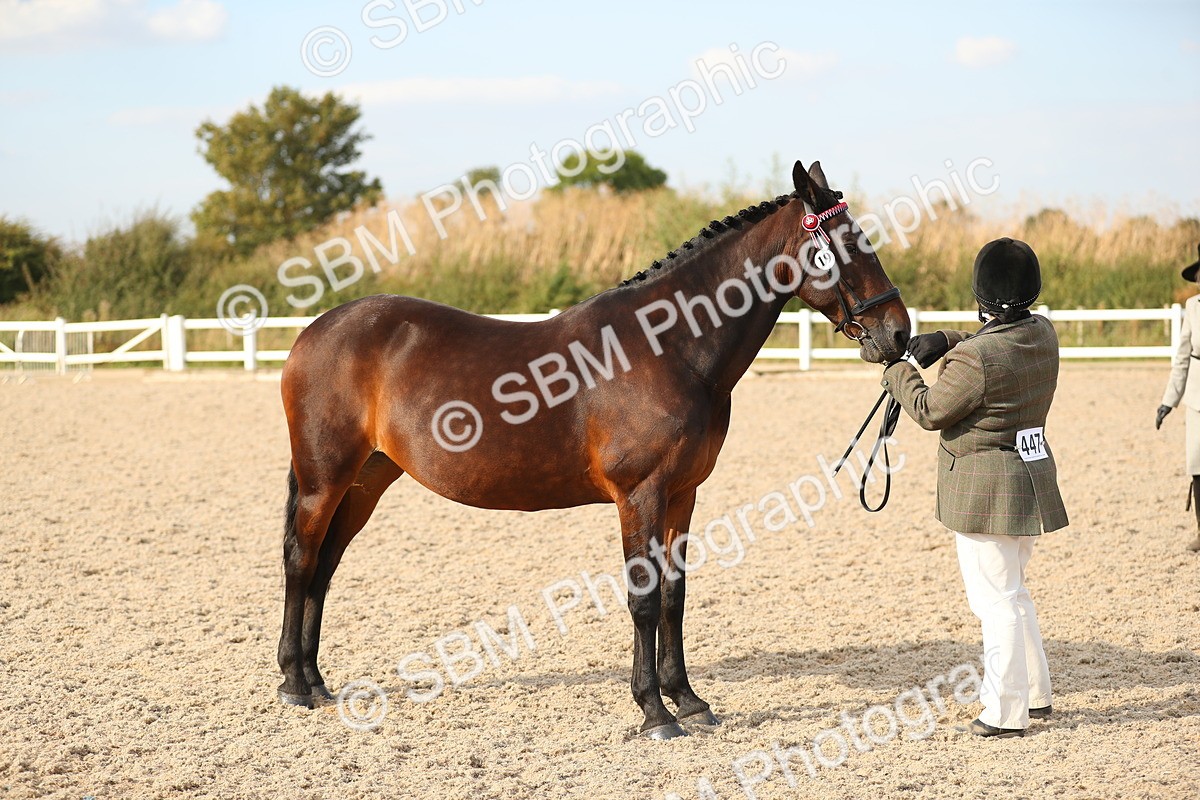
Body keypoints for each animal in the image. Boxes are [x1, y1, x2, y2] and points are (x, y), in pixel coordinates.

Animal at [276, 160, 911, 739]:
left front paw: (689, 701)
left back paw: (316, 680)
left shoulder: (682, 495)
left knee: (326, 566)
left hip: (365, 480)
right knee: (301, 559)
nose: (899, 333)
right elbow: (644, 598)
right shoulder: (640, 495)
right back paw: (294, 684)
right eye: (846, 245)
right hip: (324, 479)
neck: (669, 348)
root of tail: (315, 331)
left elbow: (675, 594)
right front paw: (654, 711)